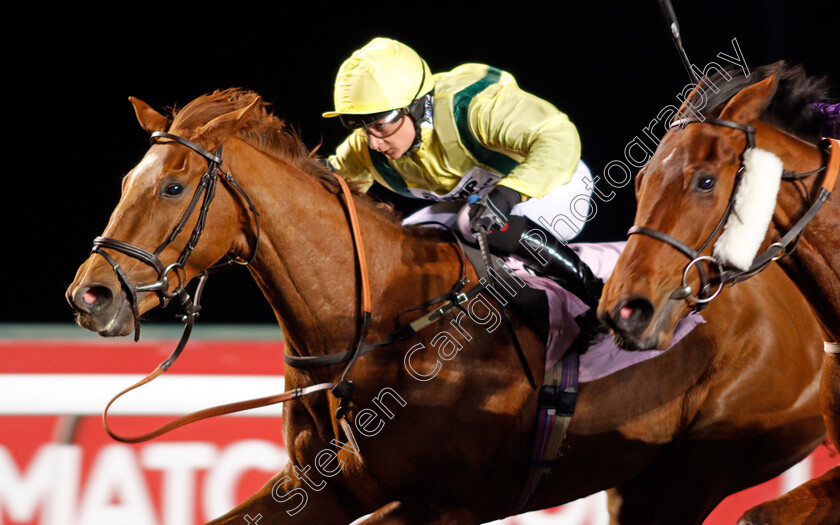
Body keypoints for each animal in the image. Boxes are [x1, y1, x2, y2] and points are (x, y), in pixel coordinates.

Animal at [67, 88, 828, 520]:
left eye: (172, 187)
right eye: (128, 179)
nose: (89, 294)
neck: (378, 326)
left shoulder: (446, 505)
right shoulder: (324, 486)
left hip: (698, 469)